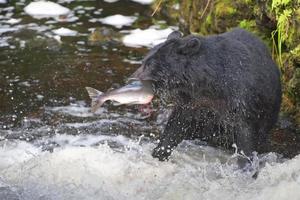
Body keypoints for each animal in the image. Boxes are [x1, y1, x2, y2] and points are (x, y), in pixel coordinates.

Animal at [130, 28, 282, 162]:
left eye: (150, 65)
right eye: (144, 61)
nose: (132, 79)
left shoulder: (241, 97)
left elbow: (246, 133)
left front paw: (246, 162)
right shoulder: (192, 102)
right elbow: (176, 124)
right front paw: (159, 151)